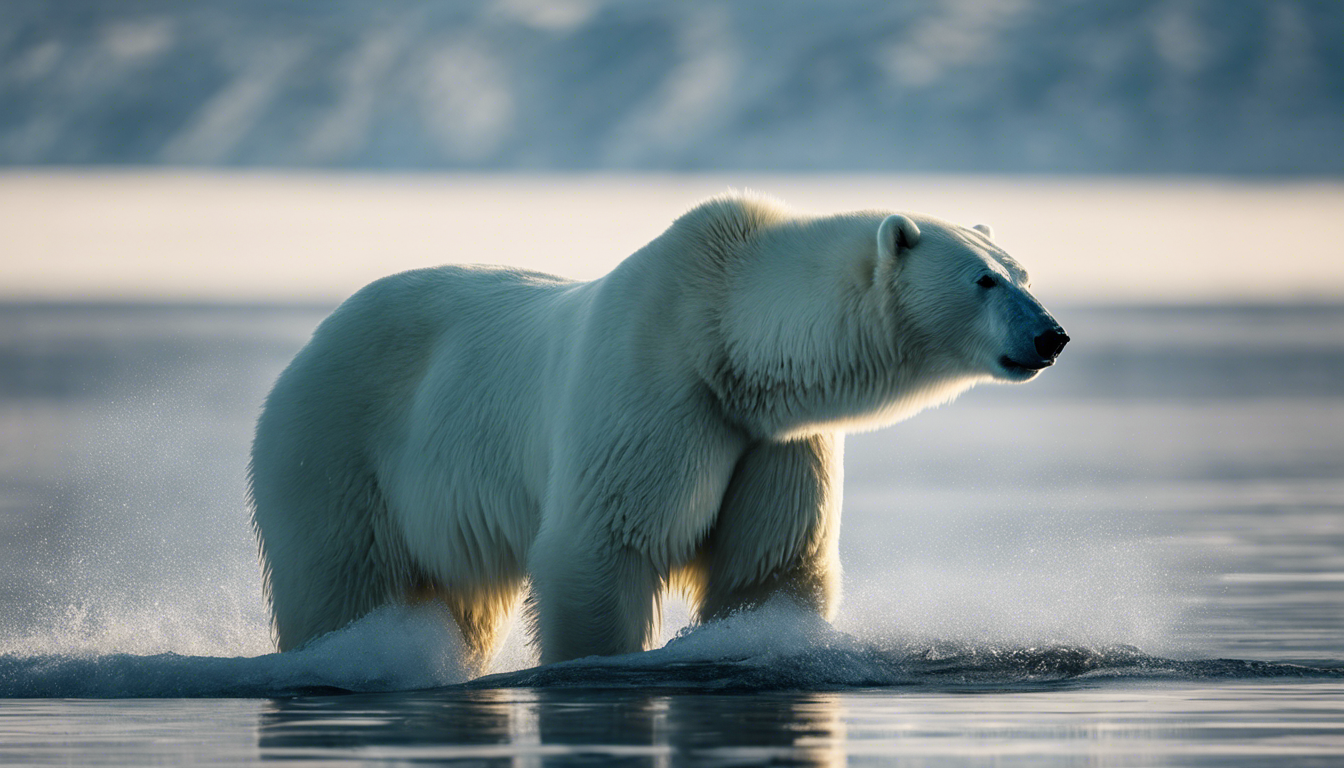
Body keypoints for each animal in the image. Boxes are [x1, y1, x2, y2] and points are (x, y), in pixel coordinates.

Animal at [249, 193, 1069, 672]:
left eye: (1023, 271)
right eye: (983, 280)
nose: (1051, 335)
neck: (727, 340)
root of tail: (311, 343)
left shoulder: (774, 439)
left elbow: (771, 562)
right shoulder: (653, 396)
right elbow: (602, 545)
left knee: (463, 605)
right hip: (340, 453)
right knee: (341, 578)